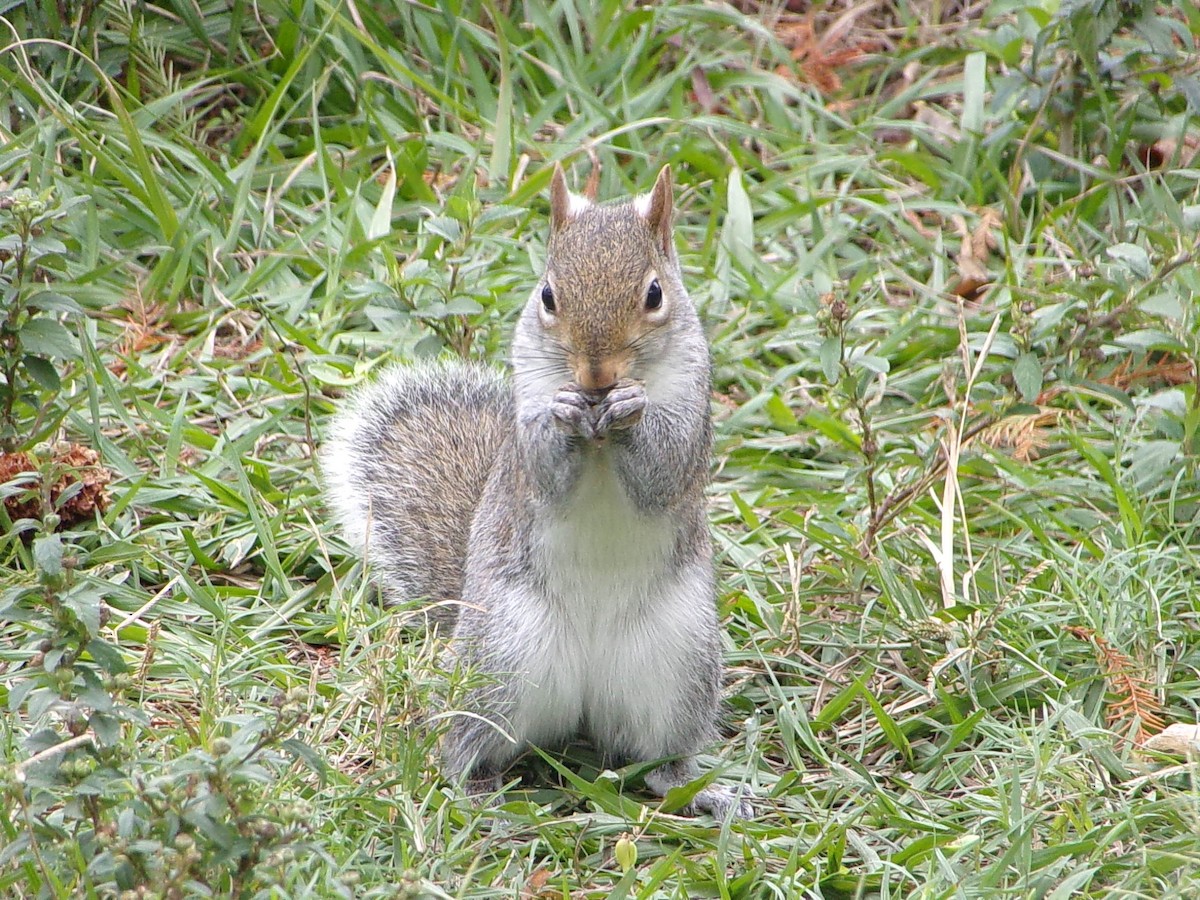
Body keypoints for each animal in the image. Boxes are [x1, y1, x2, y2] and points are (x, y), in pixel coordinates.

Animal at [321, 164, 750, 819]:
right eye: (547, 296)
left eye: (655, 295)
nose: (596, 376)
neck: (601, 434)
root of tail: (585, 702)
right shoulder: (528, 422)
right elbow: (543, 467)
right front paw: (564, 414)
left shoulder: (692, 412)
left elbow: (665, 467)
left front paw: (633, 411)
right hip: (501, 657)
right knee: (465, 740)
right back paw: (474, 789)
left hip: (677, 667)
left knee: (660, 759)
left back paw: (701, 790)